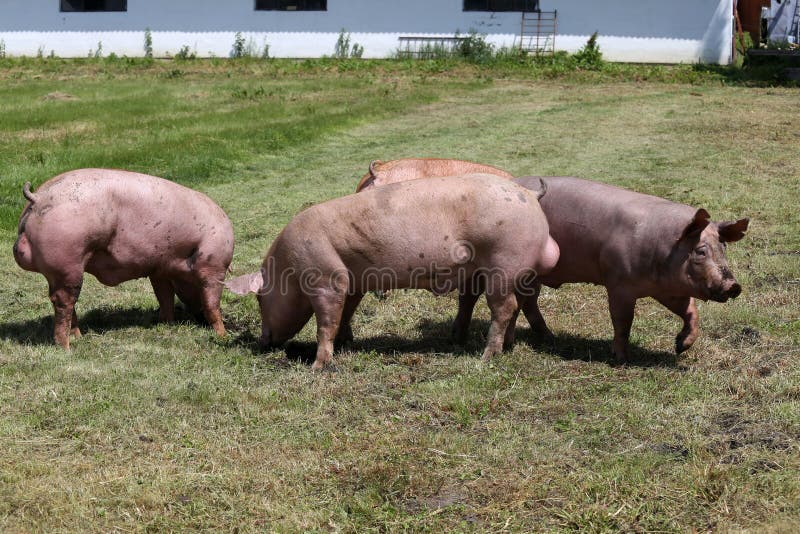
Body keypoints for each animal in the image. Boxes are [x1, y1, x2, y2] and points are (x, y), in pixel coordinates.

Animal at [13, 170, 234, 350]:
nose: (199, 320)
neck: (181, 259)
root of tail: (38, 198)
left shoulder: (159, 270)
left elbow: (165, 298)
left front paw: (167, 324)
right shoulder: (213, 265)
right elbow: (212, 304)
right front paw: (223, 335)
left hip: (58, 270)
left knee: (61, 301)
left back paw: (78, 337)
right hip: (68, 261)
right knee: (63, 301)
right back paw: (66, 347)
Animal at [222, 174, 560, 370]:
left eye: (260, 300)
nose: (262, 342)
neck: (288, 268)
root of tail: (529, 194)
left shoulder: (325, 277)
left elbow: (326, 322)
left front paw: (318, 368)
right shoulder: (352, 280)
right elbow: (347, 312)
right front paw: (347, 343)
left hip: (503, 261)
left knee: (505, 307)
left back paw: (487, 357)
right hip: (513, 269)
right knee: (517, 305)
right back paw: (508, 348)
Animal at [460, 178, 748, 362]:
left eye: (723, 247)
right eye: (700, 250)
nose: (733, 285)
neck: (664, 249)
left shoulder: (669, 290)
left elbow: (690, 311)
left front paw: (680, 348)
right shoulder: (619, 284)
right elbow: (622, 321)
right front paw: (621, 359)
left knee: (526, 302)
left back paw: (545, 339)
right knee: (480, 298)